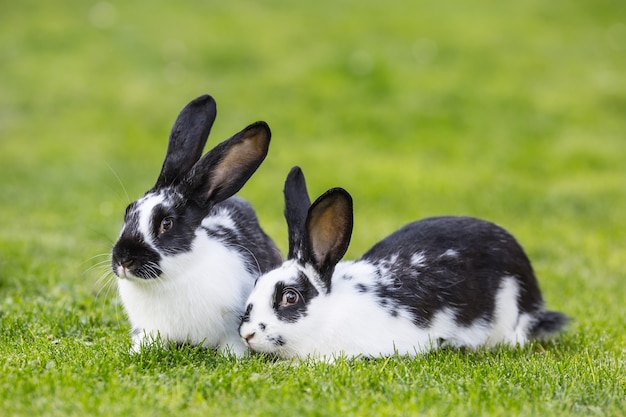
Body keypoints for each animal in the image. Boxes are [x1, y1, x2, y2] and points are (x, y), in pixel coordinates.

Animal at [109, 95, 280, 354]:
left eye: (167, 223)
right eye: (128, 212)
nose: (123, 260)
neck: (173, 277)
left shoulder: (234, 325)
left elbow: (233, 342)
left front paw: (231, 356)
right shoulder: (149, 328)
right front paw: (137, 351)